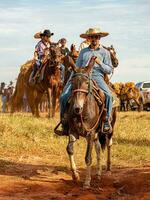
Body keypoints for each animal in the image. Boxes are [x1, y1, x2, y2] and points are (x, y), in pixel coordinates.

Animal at [59, 55, 116, 188]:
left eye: (86, 83)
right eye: (72, 82)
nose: (77, 108)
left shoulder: (90, 133)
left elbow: (88, 157)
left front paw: (87, 182)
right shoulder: (73, 131)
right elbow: (69, 149)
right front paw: (75, 175)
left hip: (109, 130)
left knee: (108, 144)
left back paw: (108, 169)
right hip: (95, 134)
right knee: (98, 148)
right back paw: (99, 174)